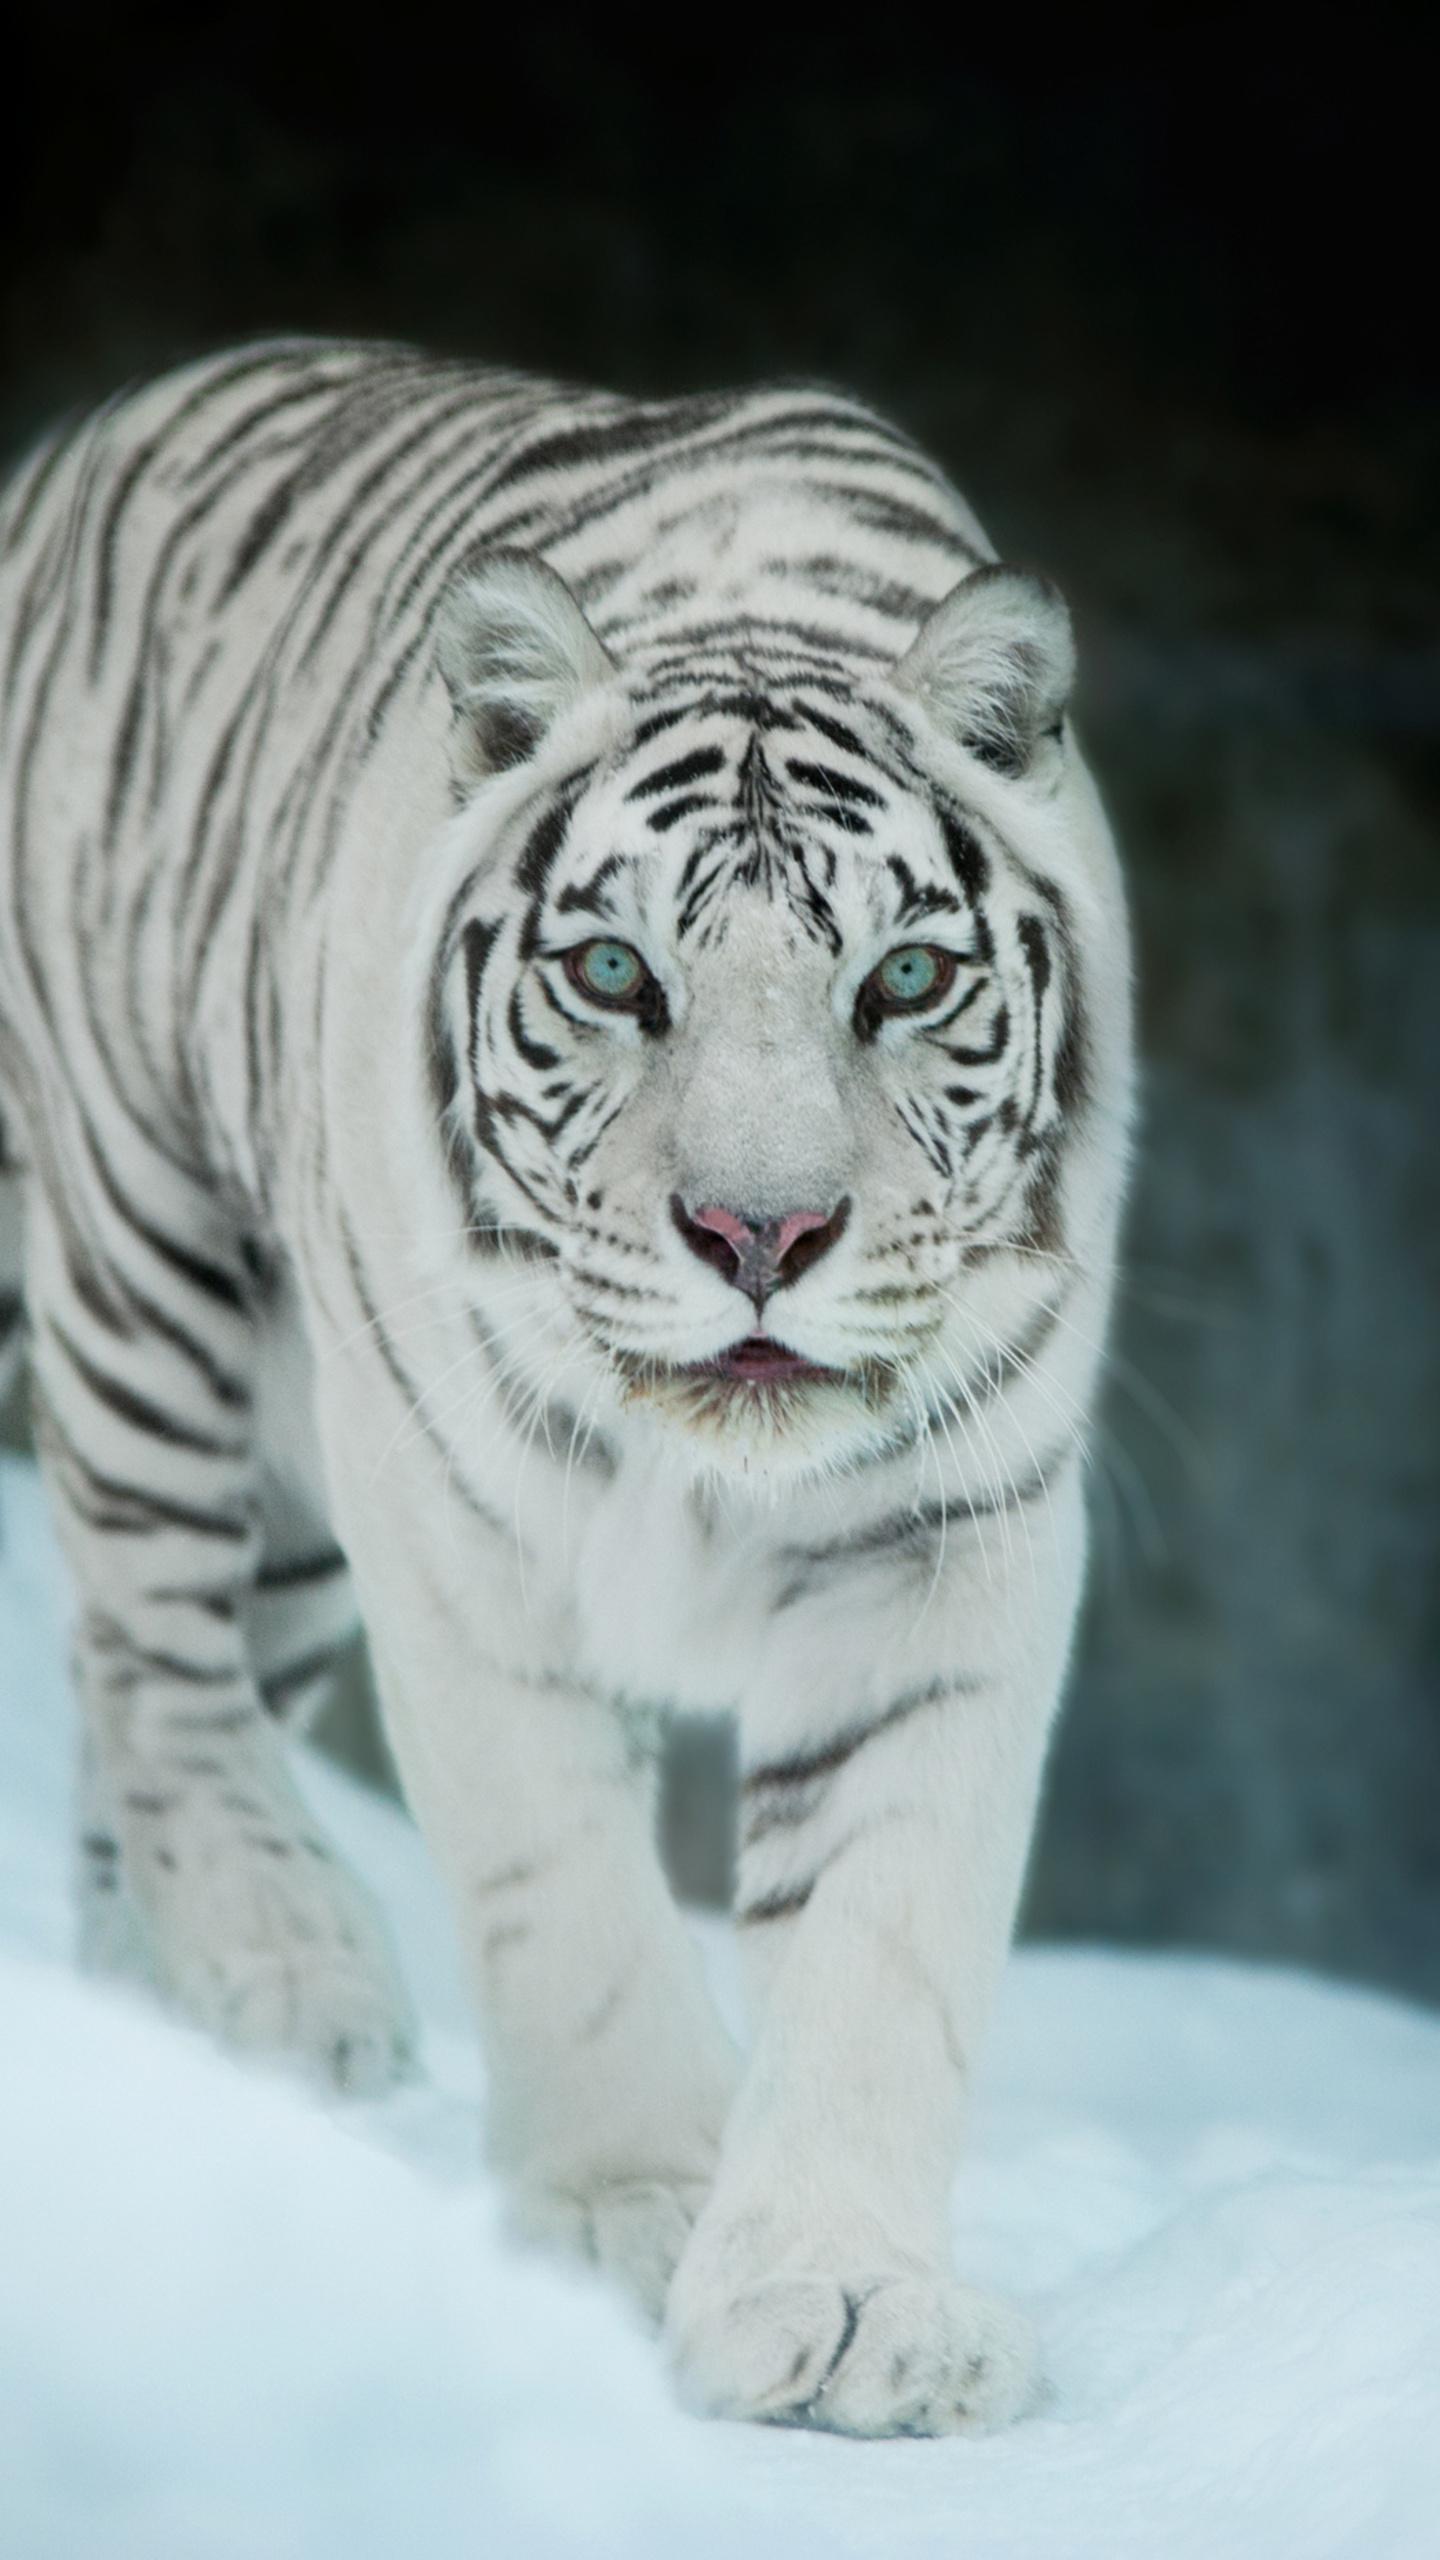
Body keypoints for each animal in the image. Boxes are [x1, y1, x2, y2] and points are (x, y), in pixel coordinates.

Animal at [0, 339, 1132, 2438]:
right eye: (614, 975)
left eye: (905, 981)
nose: (763, 1232)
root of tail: (85, 433)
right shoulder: (450, 1514)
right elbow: (566, 1894)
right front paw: (632, 2218)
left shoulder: (948, 1532)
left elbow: (882, 1935)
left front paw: (848, 2302)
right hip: (150, 1251)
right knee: (143, 1642)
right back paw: (286, 1967)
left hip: (289, 1485)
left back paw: (176, 2039)